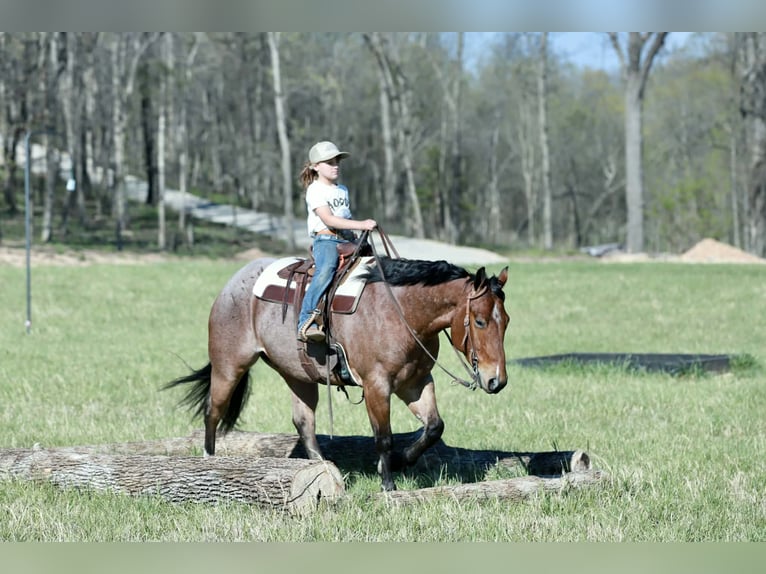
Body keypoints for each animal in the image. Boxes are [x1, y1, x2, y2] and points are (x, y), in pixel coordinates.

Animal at [165, 253, 510, 491]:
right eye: (480, 321)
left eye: (505, 321)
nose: (497, 380)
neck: (400, 312)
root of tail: (232, 283)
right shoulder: (376, 385)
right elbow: (383, 437)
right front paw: (388, 484)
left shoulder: (416, 383)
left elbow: (434, 427)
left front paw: (401, 462)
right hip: (229, 365)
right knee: (213, 411)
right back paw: (209, 462)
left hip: (298, 376)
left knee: (304, 422)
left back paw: (324, 469)